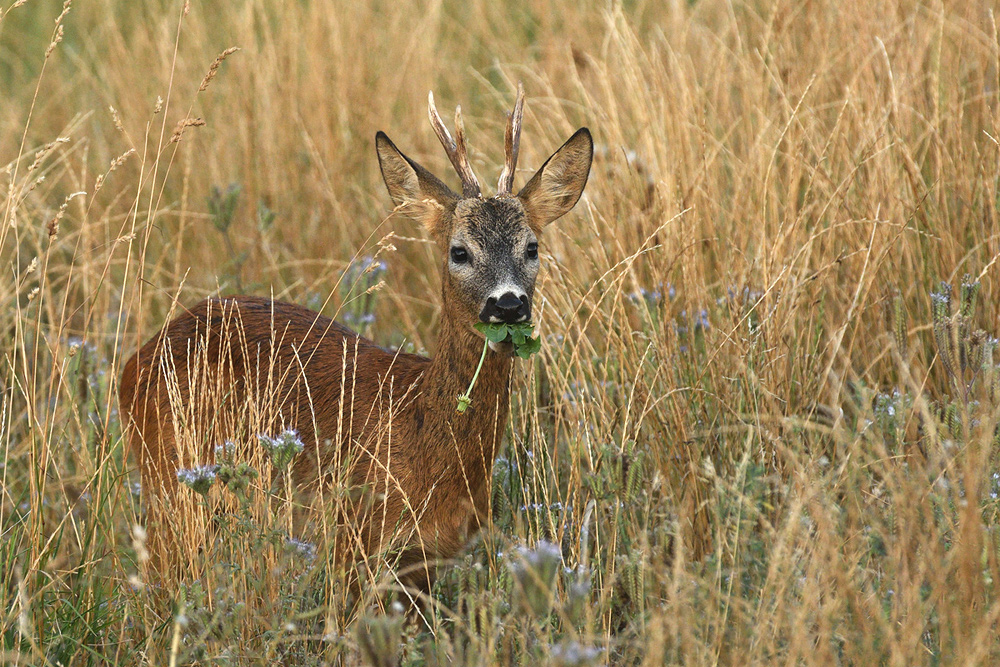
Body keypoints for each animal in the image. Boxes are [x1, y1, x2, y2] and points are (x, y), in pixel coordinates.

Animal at [117, 85, 588, 588]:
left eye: (532, 247)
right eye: (459, 251)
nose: (509, 304)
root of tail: (134, 361)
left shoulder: (428, 562)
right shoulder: (355, 541)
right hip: (170, 480)